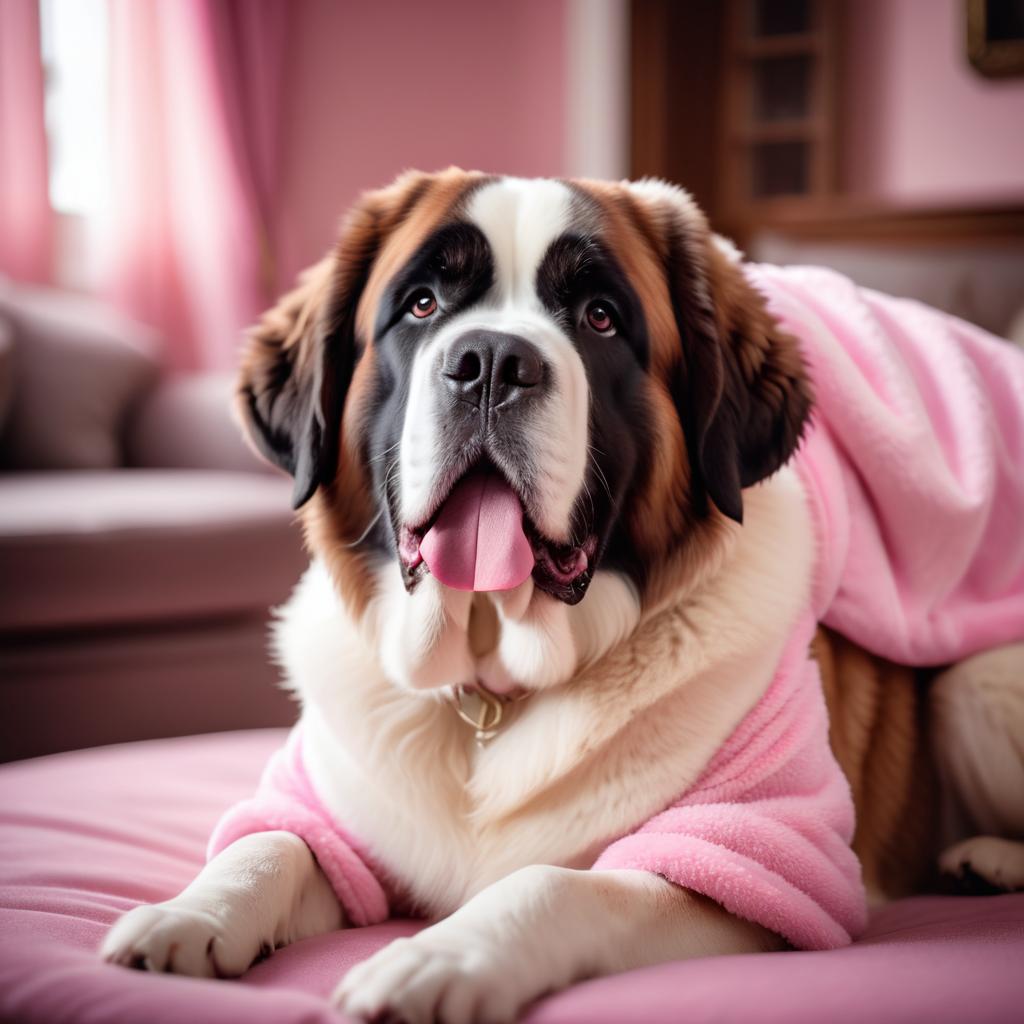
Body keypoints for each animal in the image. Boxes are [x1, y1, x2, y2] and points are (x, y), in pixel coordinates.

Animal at [101, 172, 1024, 1019]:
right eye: (423, 304)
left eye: (601, 318)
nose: (490, 363)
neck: (489, 696)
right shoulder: (329, 811)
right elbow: (270, 846)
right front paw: (187, 917)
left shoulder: (758, 857)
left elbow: (561, 885)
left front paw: (437, 959)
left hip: (976, 687)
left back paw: (987, 862)